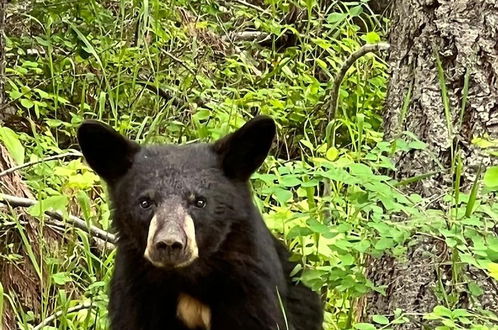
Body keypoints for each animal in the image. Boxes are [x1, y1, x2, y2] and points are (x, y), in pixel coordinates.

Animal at [78, 116, 322, 330]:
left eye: (200, 201)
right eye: (145, 202)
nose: (169, 244)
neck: (187, 279)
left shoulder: (252, 292)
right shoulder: (135, 293)